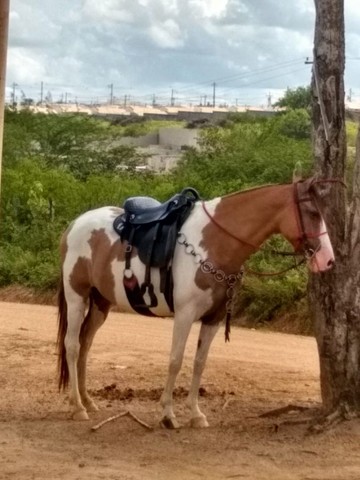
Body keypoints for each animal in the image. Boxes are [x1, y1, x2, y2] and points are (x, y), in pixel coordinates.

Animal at [56, 177, 334, 428]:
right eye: (312, 212)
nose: (328, 260)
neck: (214, 241)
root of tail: (74, 225)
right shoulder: (185, 314)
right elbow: (175, 360)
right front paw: (168, 415)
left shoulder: (214, 318)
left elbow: (200, 363)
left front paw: (196, 414)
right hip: (76, 296)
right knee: (72, 345)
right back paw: (77, 407)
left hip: (100, 303)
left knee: (85, 344)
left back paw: (87, 401)